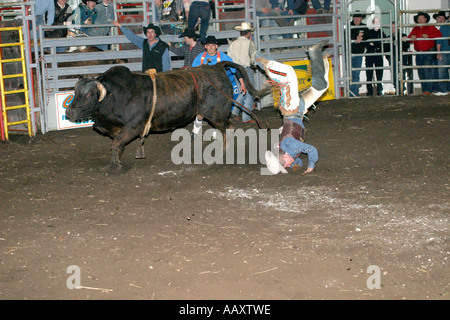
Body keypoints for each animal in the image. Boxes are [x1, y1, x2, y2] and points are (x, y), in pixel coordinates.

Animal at [66, 61, 270, 169]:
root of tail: (216, 67)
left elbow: (116, 143)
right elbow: (117, 143)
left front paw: (116, 165)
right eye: (75, 92)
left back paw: (222, 151)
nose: (69, 111)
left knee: (228, 128)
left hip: (217, 114)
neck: (115, 94)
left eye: (89, 94)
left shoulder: (134, 126)